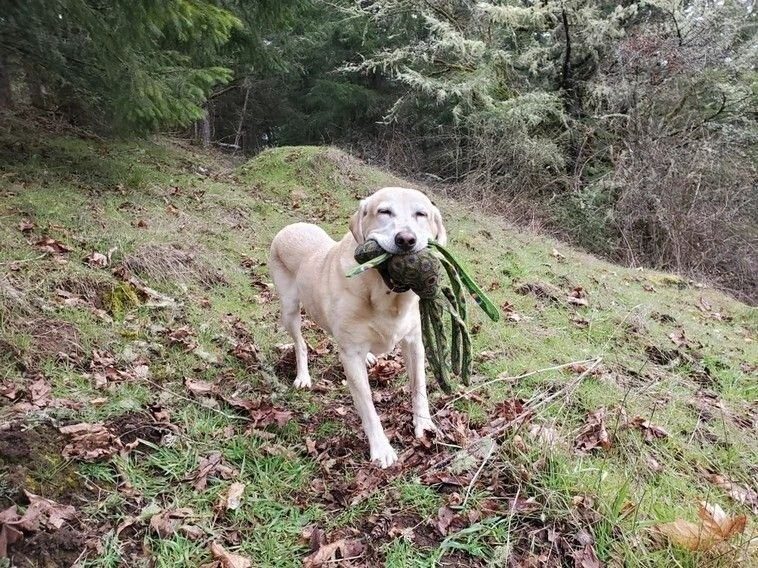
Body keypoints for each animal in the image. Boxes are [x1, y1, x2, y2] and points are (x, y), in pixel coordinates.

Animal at [268, 186, 446, 466]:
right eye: (384, 211)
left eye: (421, 214)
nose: (406, 240)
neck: (385, 293)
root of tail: (290, 226)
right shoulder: (350, 355)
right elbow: (368, 405)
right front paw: (381, 448)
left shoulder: (414, 342)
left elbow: (419, 387)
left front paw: (424, 426)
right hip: (289, 309)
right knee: (301, 344)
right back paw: (303, 376)